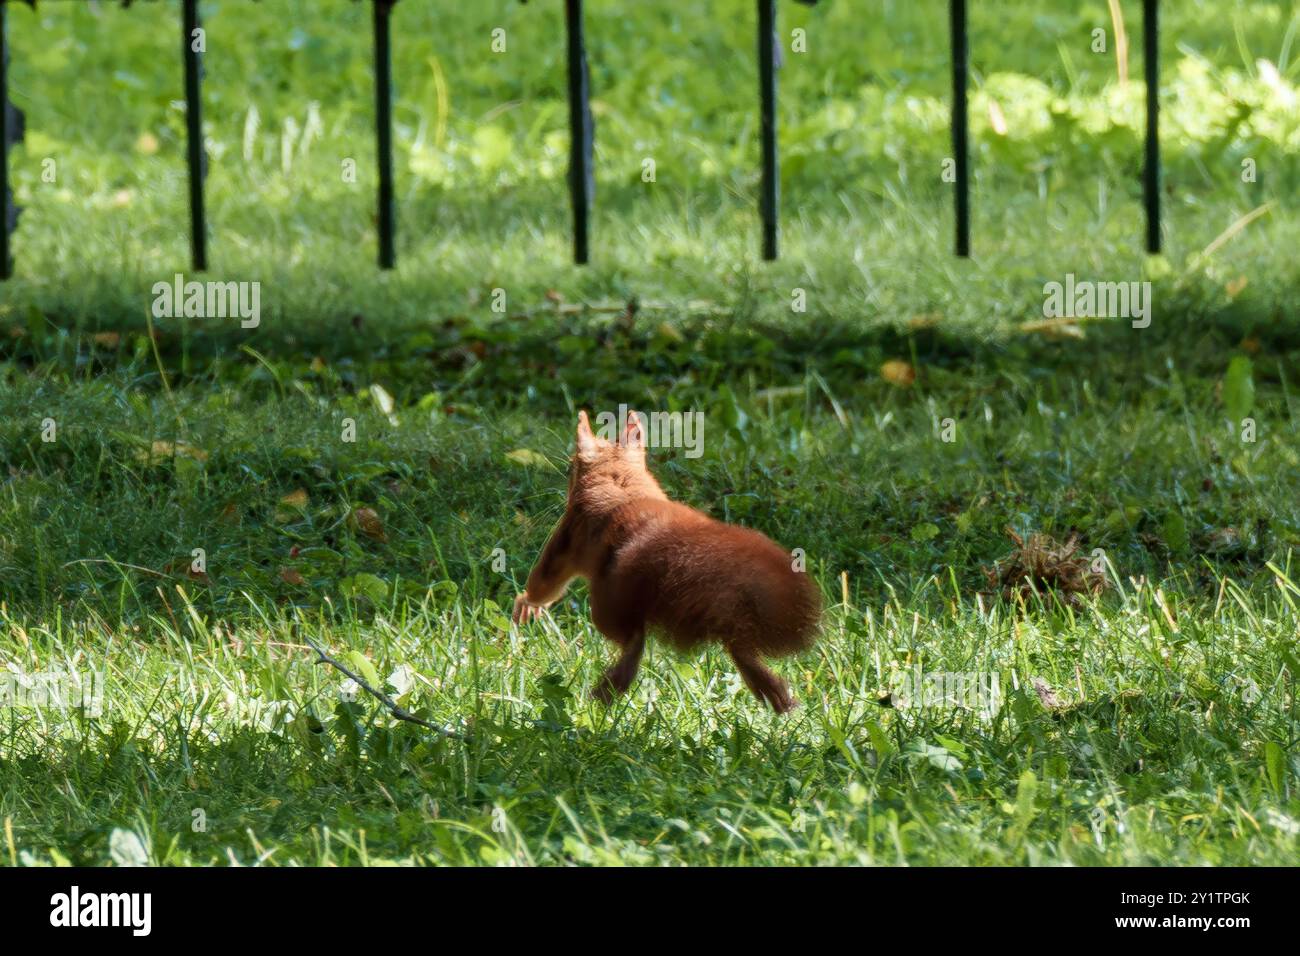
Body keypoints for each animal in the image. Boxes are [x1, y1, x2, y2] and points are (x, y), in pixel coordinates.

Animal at [512, 408, 816, 712]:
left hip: (608, 604)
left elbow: (545, 582)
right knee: (734, 642)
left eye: (570, 468)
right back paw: (774, 692)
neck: (619, 477)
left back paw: (608, 687)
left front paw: (526, 604)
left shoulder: (566, 537)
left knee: (633, 639)